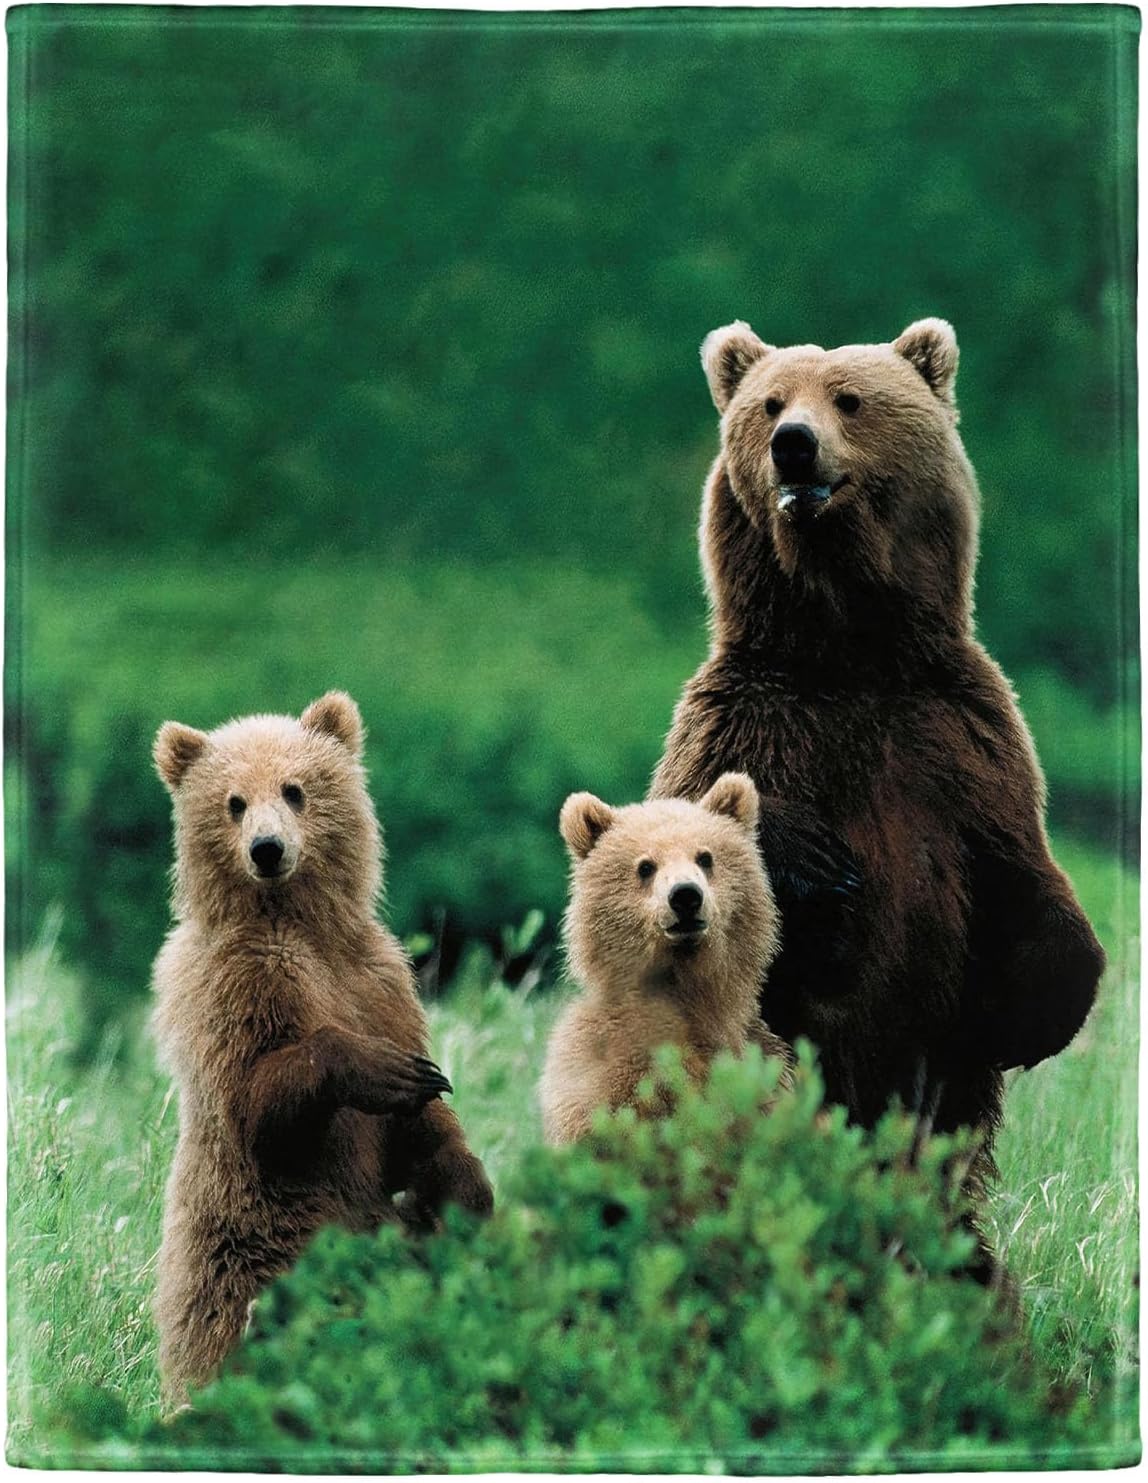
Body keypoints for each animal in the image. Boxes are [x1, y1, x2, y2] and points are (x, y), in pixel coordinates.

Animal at [151, 691, 493, 1405]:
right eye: (233, 801)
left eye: (295, 788)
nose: (267, 848)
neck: (298, 922)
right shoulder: (238, 988)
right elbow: (257, 1099)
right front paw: (386, 1071)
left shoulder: (377, 981)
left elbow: (425, 1130)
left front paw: (463, 1182)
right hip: (259, 1255)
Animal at [650, 317, 1105, 1228]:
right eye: (770, 403)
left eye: (850, 398)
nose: (794, 445)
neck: (848, 649)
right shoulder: (743, 721)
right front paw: (816, 861)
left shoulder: (963, 742)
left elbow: (1028, 883)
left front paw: (1024, 1018)